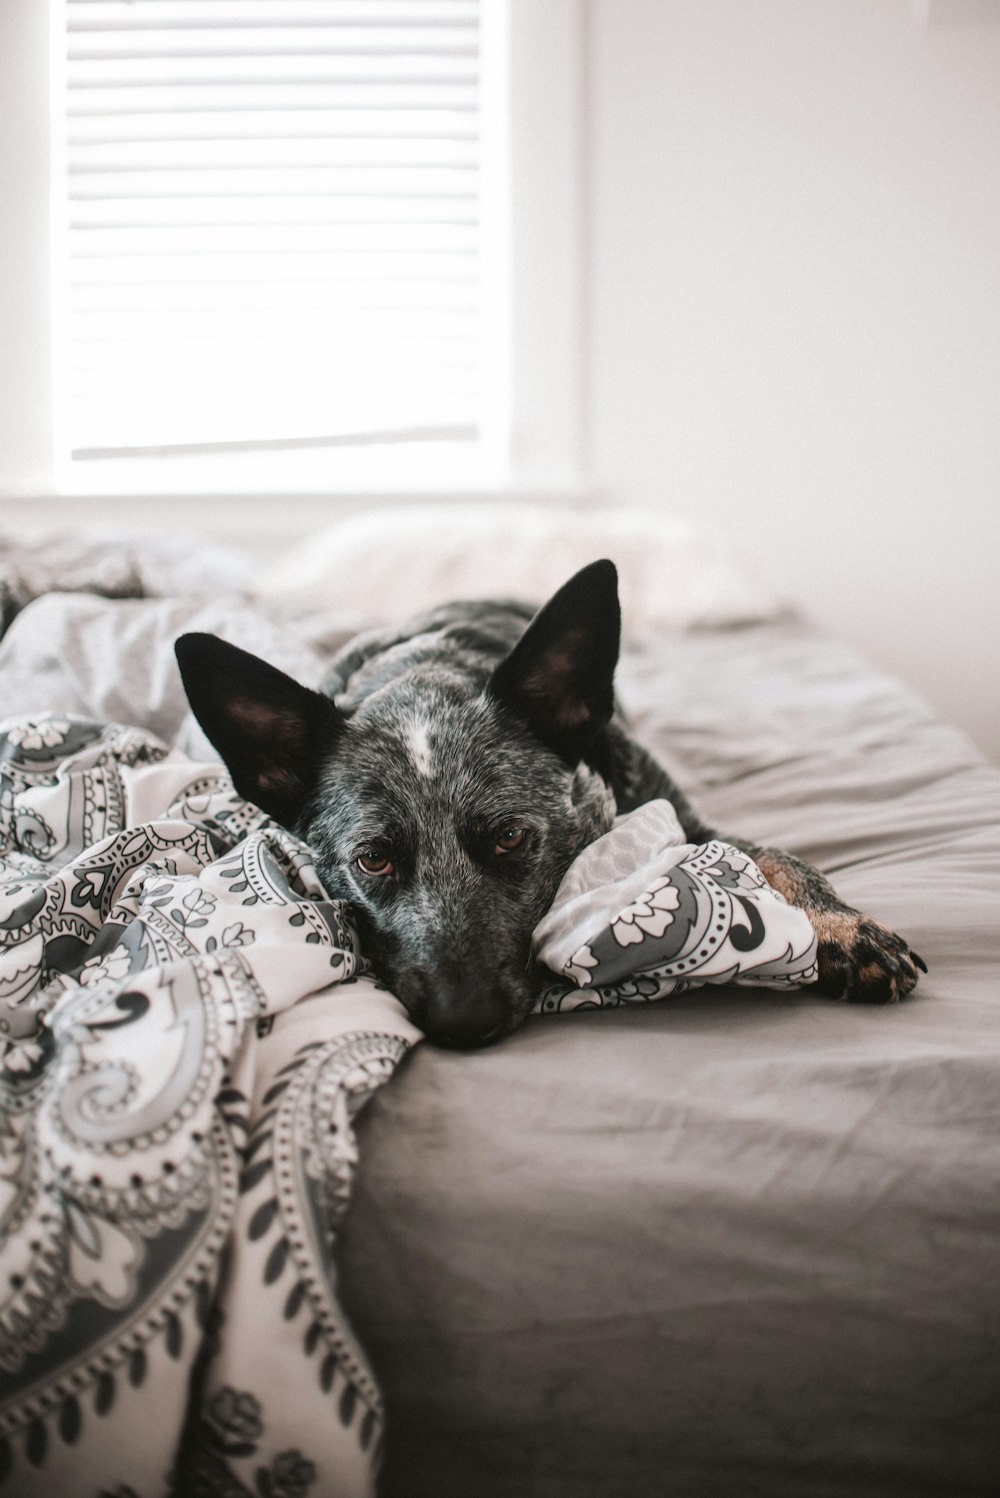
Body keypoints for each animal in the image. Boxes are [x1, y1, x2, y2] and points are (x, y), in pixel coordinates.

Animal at [173, 557, 922, 1048]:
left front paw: (846, 929)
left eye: (509, 838)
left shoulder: (690, 819)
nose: (463, 1022)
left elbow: (782, 858)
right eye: (373, 861)